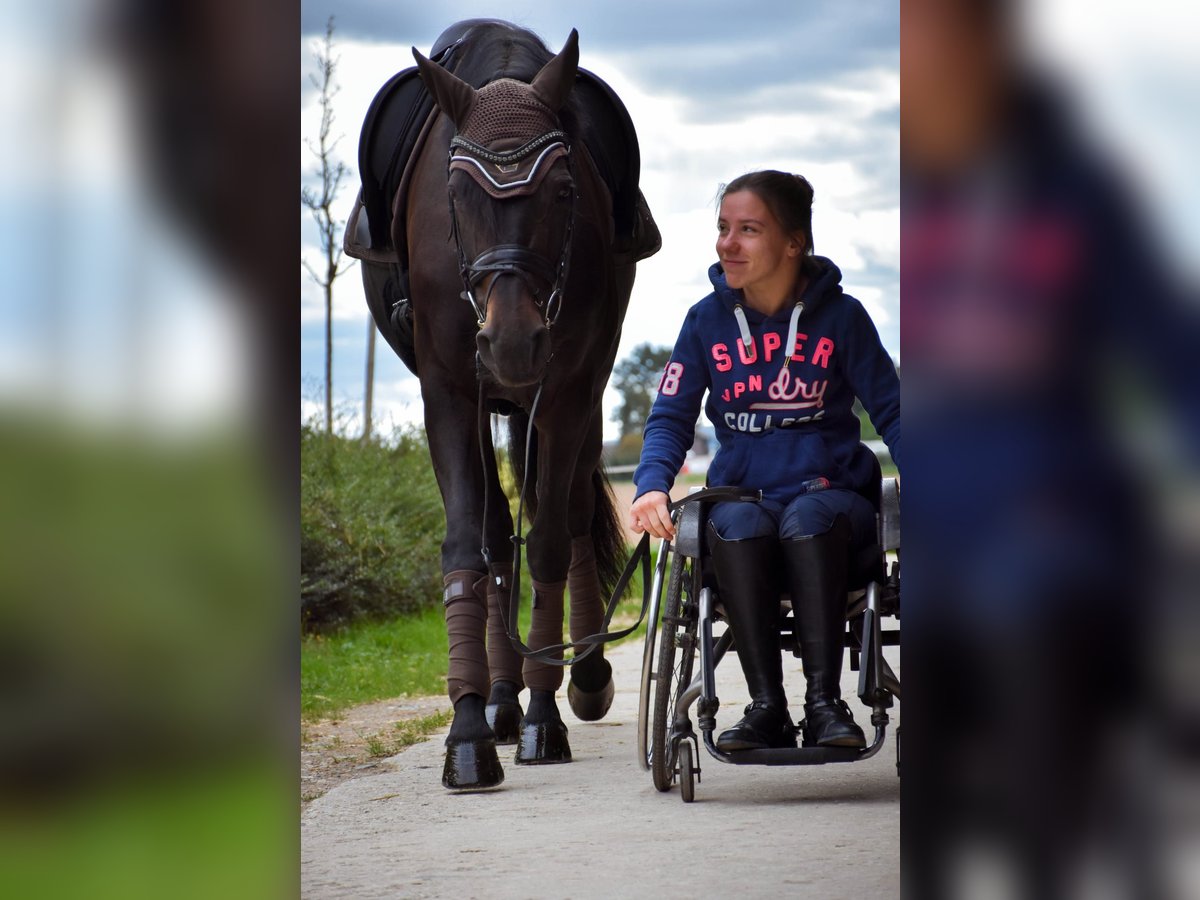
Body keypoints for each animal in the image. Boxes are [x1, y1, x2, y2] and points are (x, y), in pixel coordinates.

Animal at [360, 21, 662, 787]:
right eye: (456, 191)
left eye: (562, 189)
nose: (513, 340)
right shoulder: (449, 391)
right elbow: (469, 544)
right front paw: (468, 729)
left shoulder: (568, 389)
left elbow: (551, 540)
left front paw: (545, 717)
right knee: (499, 536)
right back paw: (499, 696)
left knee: (574, 514)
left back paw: (581, 678)